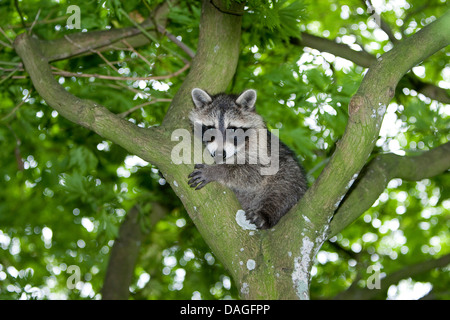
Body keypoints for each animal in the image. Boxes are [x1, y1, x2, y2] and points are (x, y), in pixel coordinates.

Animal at [188, 89, 308, 229]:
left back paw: (265, 214)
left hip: (293, 177)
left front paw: (217, 171)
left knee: (284, 186)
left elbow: (253, 171)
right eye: (211, 128)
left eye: (232, 130)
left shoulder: (264, 149)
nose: (219, 153)